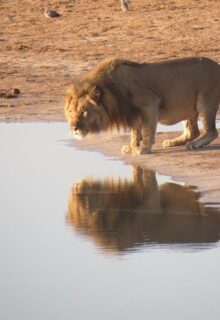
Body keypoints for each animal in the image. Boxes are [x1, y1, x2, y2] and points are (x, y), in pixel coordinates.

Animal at [64, 57, 219, 155]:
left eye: (84, 111)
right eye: (71, 112)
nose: (74, 129)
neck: (112, 91)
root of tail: (217, 65)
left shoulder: (150, 103)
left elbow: (147, 130)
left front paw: (143, 149)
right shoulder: (132, 113)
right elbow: (135, 132)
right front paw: (131, 147)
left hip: (206, 101)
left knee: (211, 131)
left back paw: (194, 144)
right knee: (192, 131)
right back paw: (173, 142)